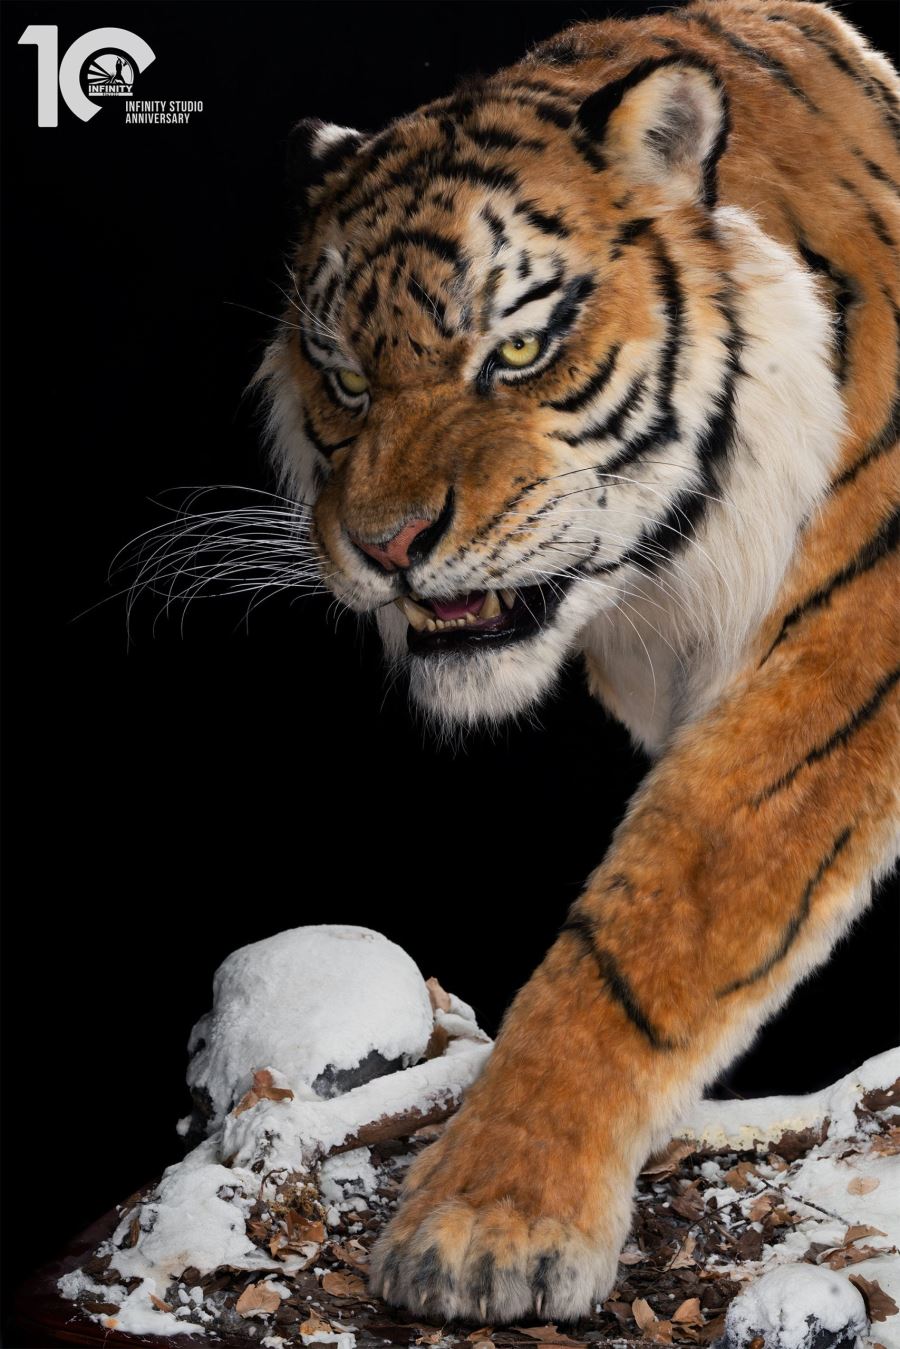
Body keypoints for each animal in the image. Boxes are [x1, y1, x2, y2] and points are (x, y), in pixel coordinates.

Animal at [256, 0, 900, 1323]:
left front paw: (486, 1223)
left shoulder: (843, 644)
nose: (387, 546)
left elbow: (649, 928)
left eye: (515, 355)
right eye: (343, 381)